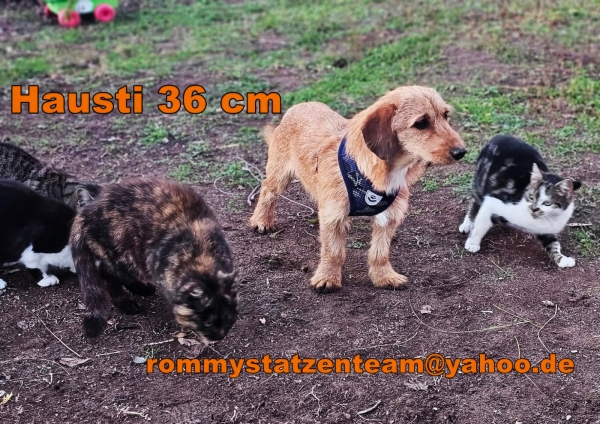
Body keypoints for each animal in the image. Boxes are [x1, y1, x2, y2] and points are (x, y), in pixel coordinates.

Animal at [69, 178, 239, 340]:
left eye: (228, 318)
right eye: (208, 322)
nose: (219, 336)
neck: (201, 255)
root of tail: (85, 212)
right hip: (122, 253)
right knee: (109, 275)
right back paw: (129, 301)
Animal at [250, 86, 466, 293]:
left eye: (446, 115)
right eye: (421, 123)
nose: (461, 152)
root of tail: (300, 105)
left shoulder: (389, 216)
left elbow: (379, 253)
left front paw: (384, 277)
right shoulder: (333, 215)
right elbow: (333, 252)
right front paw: (327, 277)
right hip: (280, 175)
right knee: (267, 190)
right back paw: (261, 220)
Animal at [459, 135, 581, 268]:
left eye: (547, 203)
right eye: (531, 197)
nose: (534, 209)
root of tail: (501, 136)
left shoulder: (545, 230)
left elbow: (553, 243)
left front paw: (561, 259)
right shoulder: (493, 202)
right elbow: (480, 225)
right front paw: (472, 243)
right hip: (480, 181)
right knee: (475, 201)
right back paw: (467, 224)